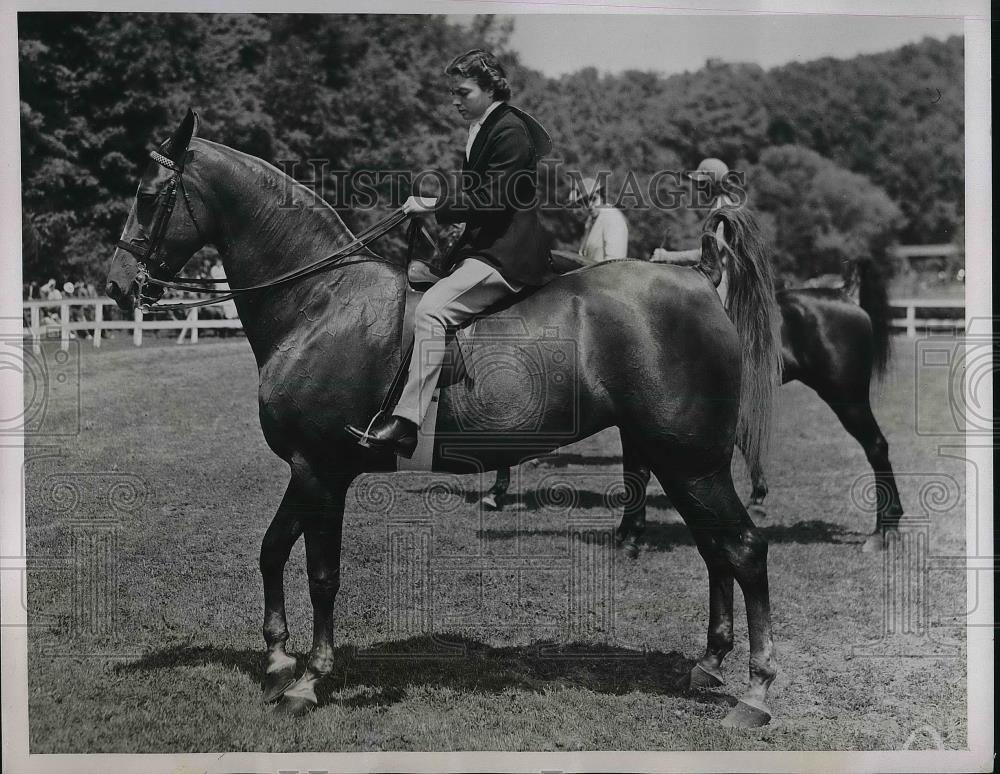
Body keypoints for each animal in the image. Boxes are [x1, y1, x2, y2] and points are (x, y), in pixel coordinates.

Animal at [107, 113, 780, 728]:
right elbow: (273, 550)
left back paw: (755, 692)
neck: (320, 302)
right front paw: (276, 660)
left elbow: (322, 574)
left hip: (691, 461)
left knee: (744, 549)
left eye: (148, 196)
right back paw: (710, 663)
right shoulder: (307, 469)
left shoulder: (321, 470)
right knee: (714, 549)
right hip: (678, 460)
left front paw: (309, 680)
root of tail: (701, 281)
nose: (116, 287)